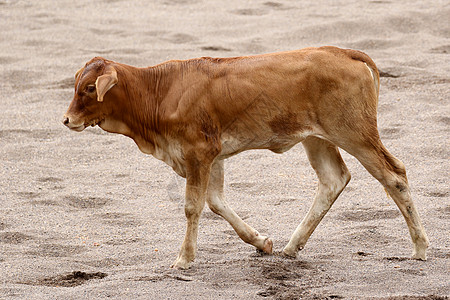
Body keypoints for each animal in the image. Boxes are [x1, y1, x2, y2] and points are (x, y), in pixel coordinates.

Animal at [63, 47, 428, 270]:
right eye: (78, 84)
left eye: (90, 89)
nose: (66, 120)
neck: (159, 92)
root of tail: (341, 52)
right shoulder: (211, 156)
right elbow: (216, 202)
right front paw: (261, 242)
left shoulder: (198, 152)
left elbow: (193, 206)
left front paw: (184, 258)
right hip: (318, 138)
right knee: (333, 179)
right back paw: (292, 245)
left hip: (355, 133)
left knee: (394, 176)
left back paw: (420, 248)